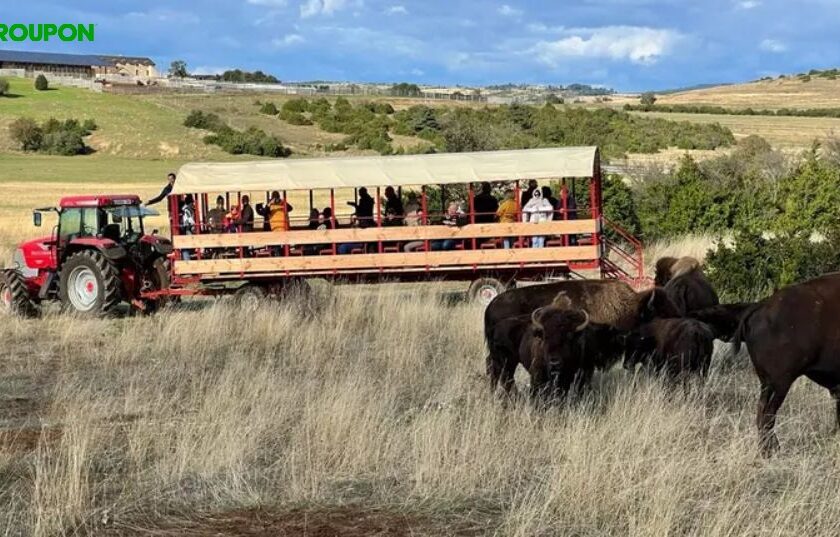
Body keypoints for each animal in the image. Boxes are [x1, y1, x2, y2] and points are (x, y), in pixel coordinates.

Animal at [733, 273, 840, 455]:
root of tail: (763, 305)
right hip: (782, 382)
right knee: (768, 415)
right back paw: (771, 451)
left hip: (767, 383)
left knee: (761, 412)